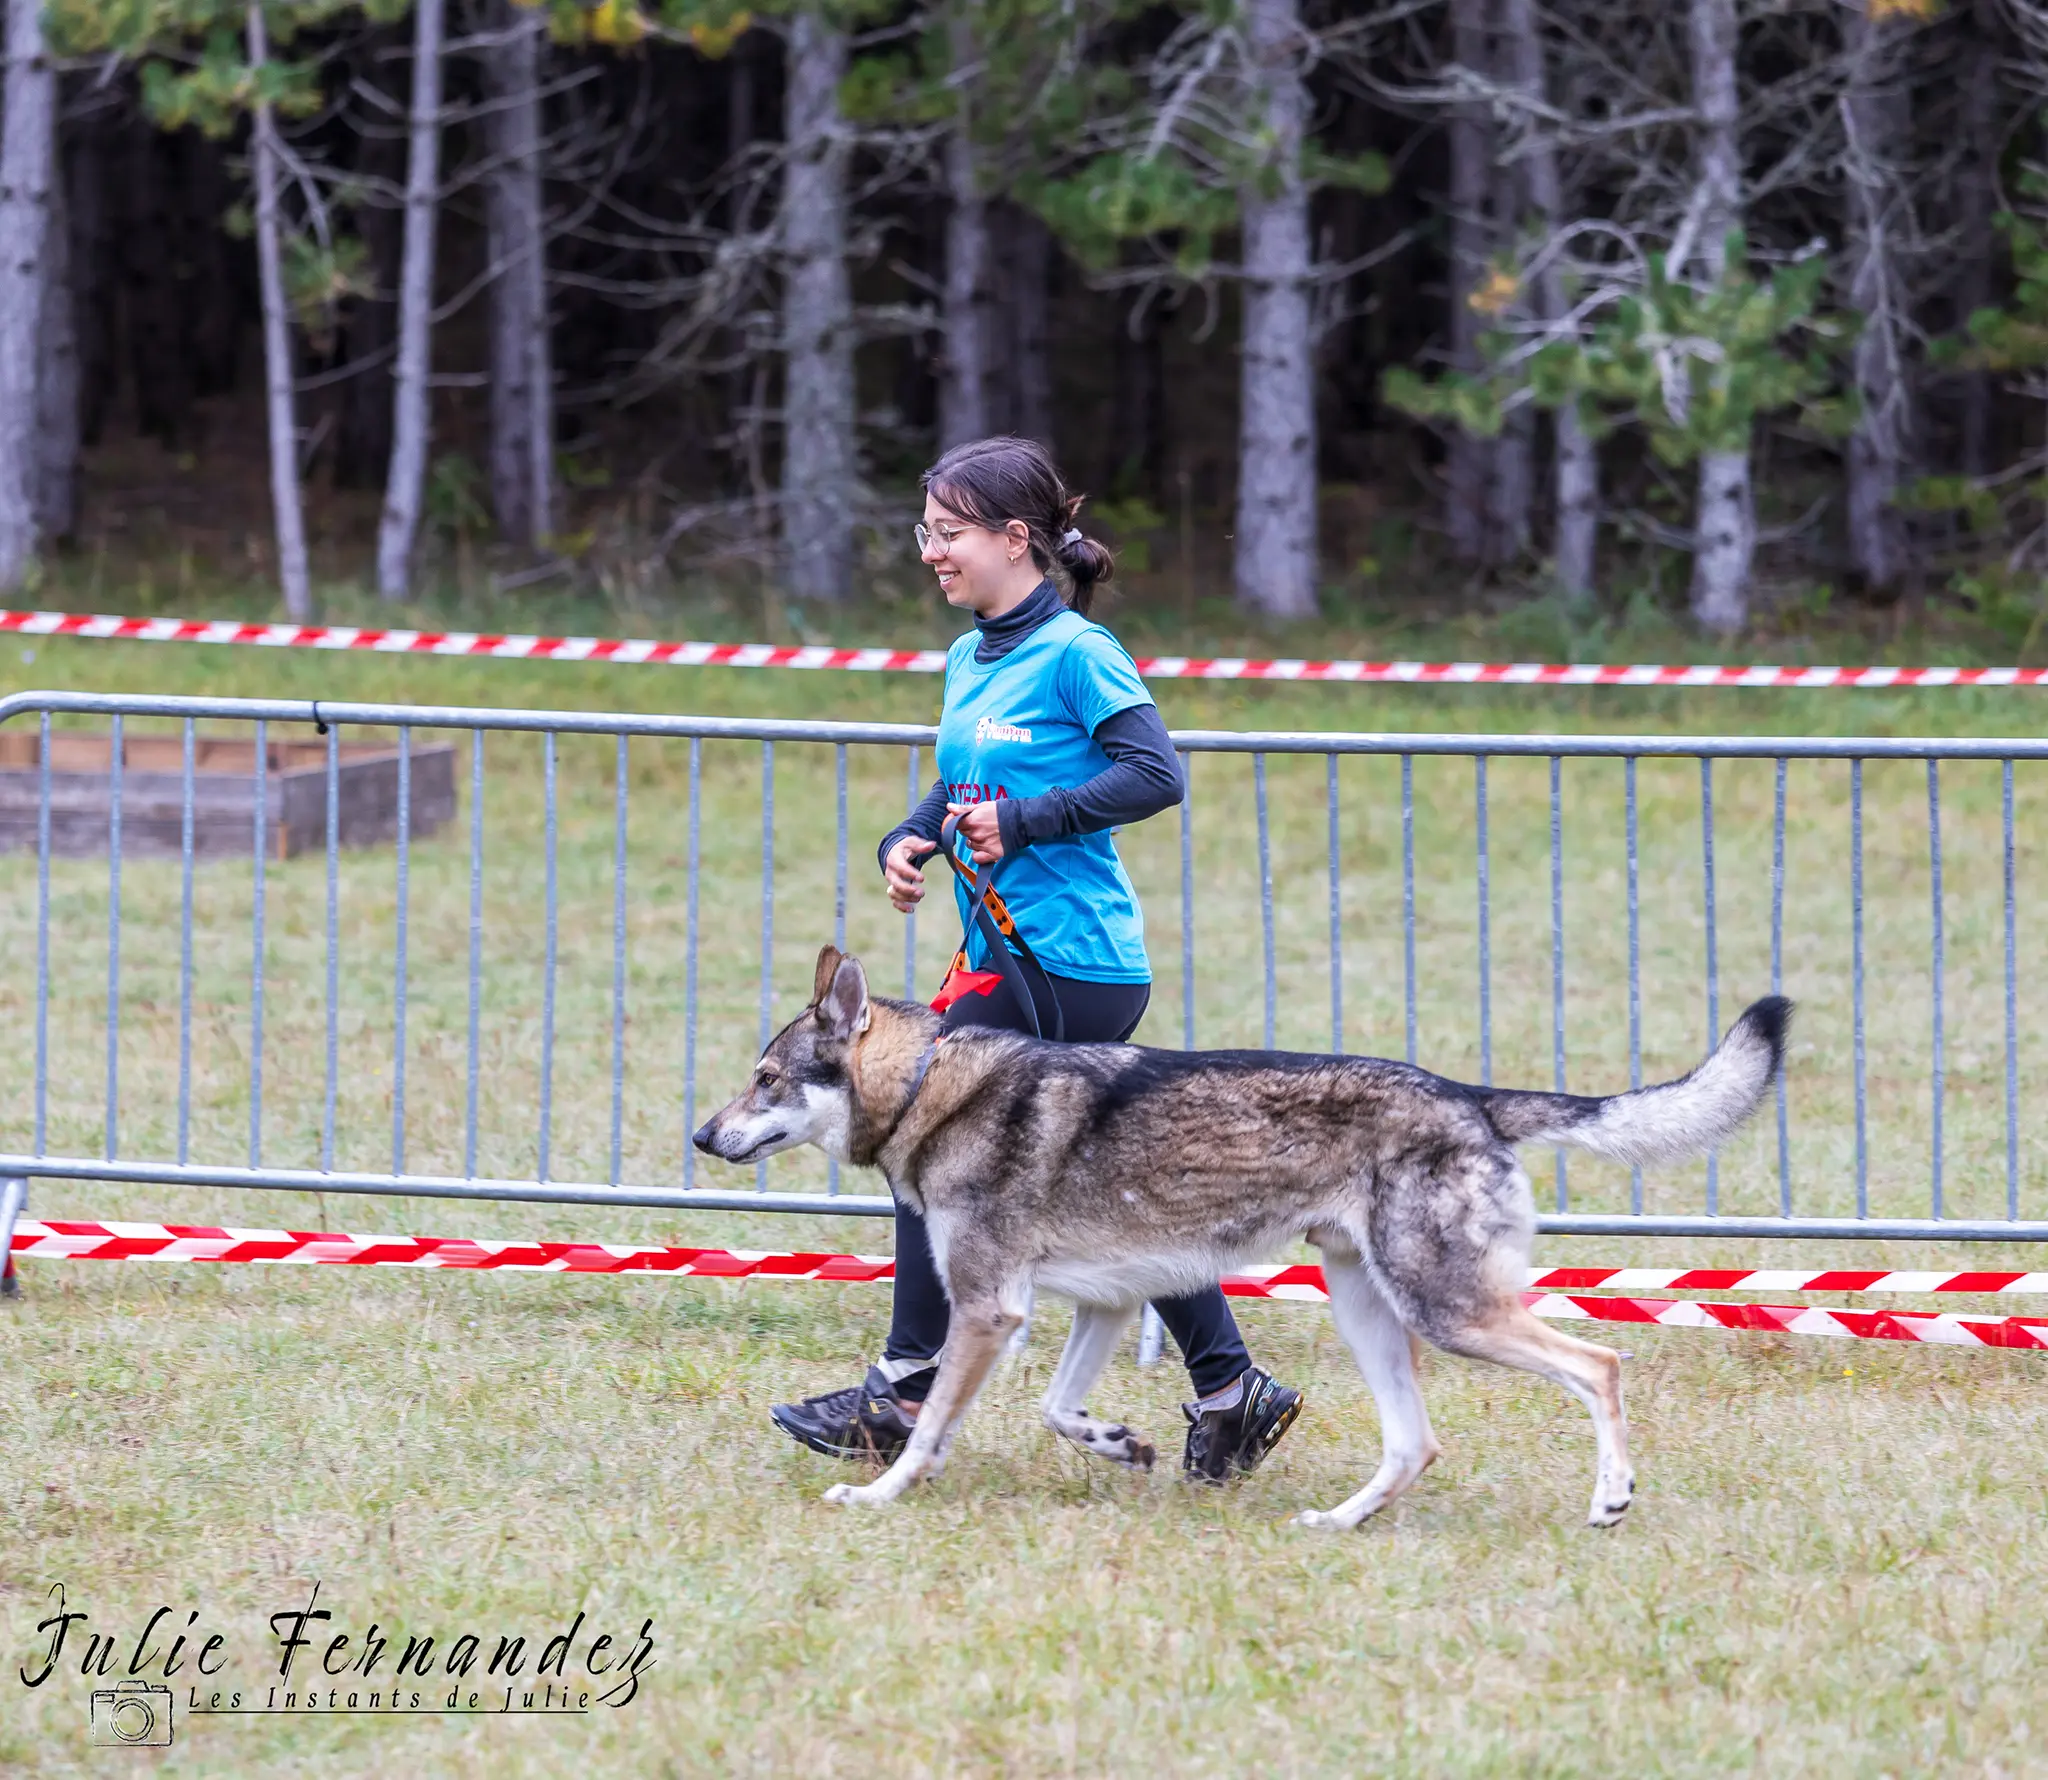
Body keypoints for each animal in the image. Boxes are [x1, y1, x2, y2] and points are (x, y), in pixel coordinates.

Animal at [696, 946, 1785, 1523]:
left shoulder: (989, 1310)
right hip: (1368, 1313)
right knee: (1415, 1445)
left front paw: (878, 1496)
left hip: (1448, 1313)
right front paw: (1119, 1443)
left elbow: (927, 1430)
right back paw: (1336, 1523)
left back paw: (1611, 1498)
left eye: (765, 1079)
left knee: (1599, 1363)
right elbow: (1056, 1409)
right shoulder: (1103, 1303)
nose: (701, 1136)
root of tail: (1468, 1094)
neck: (935, 1089)